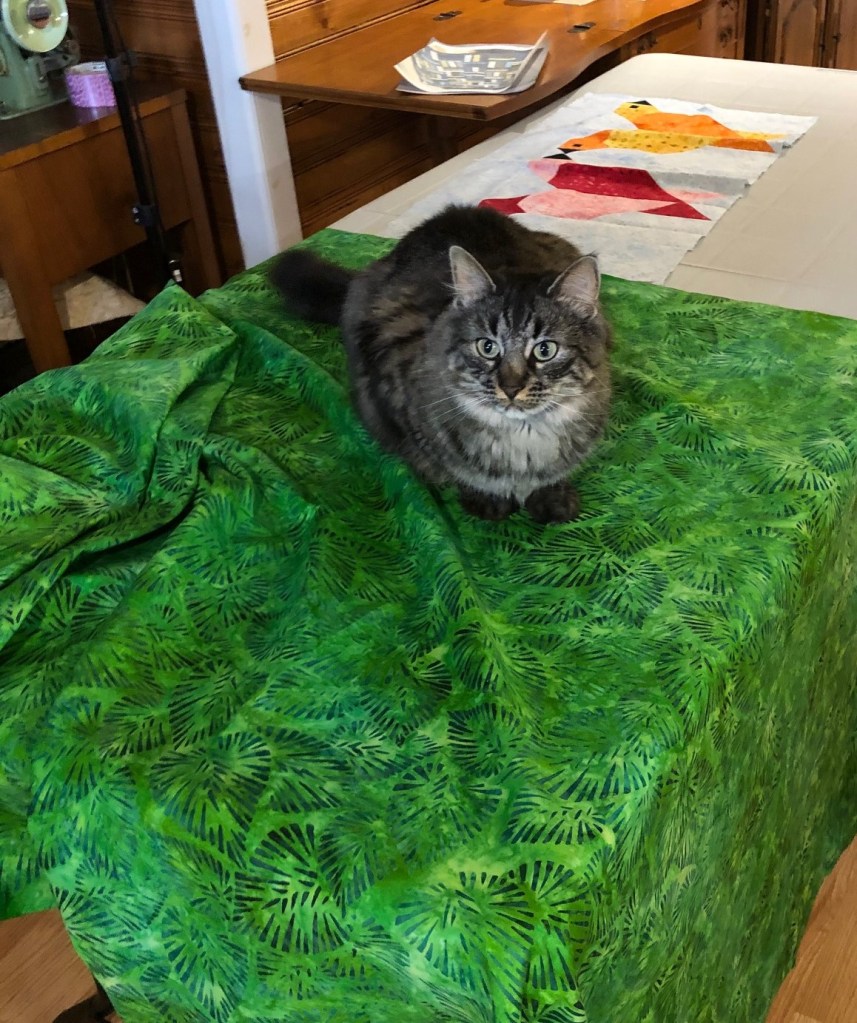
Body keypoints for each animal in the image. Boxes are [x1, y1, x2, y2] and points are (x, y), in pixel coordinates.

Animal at [270, 204, 612, 524]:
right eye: (487, 347)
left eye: (545, 350)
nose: (511, 388)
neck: (523, 440)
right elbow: (451, 468)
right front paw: (486, 497)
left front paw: (552, 495)